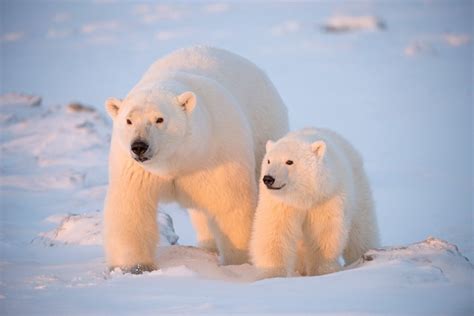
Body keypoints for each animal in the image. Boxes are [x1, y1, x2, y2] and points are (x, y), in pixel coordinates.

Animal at [104, 45, 288, 272]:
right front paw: (134, 266)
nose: (139, 146)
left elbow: (232, 205)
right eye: (129, 120)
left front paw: (240, 262)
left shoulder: (217, 153)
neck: (179, 160)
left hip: (264, 130)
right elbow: (131, 206)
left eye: (159, 119)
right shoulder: (134, 169)